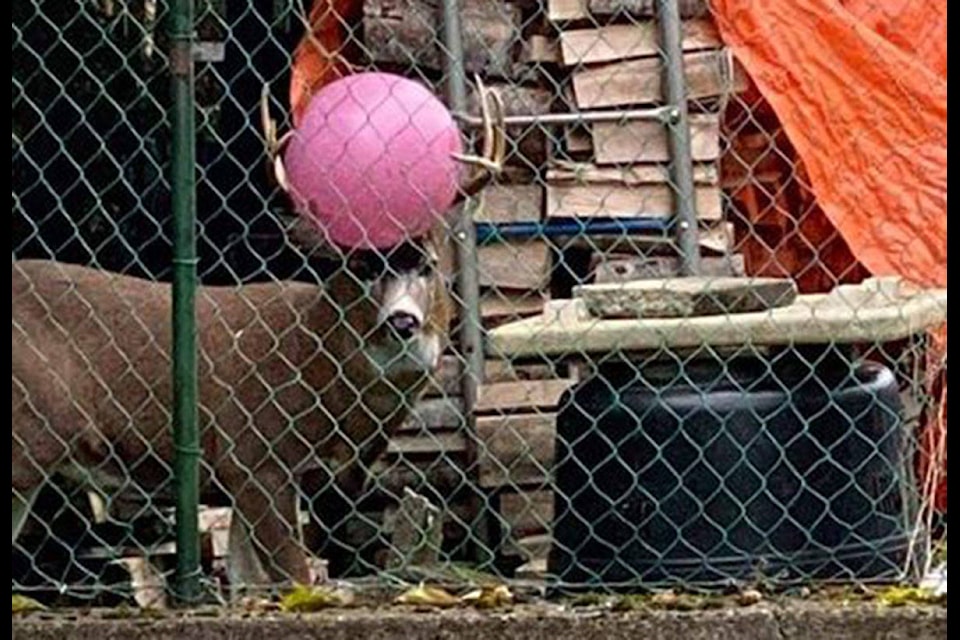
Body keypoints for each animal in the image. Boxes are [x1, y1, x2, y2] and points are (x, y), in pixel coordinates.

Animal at [11, 77, 506, 592]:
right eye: (362, 266)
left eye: (428, 265)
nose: (402, 320)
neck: (318, 365)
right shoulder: (255, 455)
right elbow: (295, 577)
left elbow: (248, 582)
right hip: (29, 437)